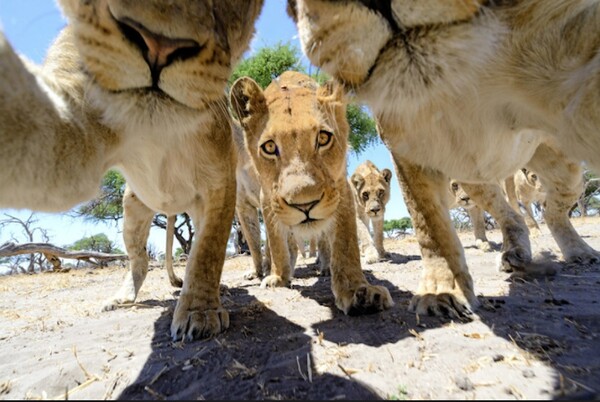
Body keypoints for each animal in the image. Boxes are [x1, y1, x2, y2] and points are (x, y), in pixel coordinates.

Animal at [0, 0, 262, 342]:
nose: (159, 45)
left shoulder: (220, 182)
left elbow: (208, 250)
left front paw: (199, 313)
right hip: (133, 208)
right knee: (139, 259)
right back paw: (122, 298)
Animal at [230, 71, 394, 314]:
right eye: (269, 147)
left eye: (323, 138)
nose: (304, 205)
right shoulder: (266, 197)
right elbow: (276, 243)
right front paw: (277, 277)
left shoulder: (340, 186)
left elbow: (346, 242)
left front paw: (357, 290)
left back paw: (325, 267)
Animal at [288, 1, 596, 318]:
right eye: (364, 194)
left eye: (381, 193)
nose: (373, 207)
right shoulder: (405, 151)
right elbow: (428, 224)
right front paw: (441, 290)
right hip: (479, 179)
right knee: (521, 213)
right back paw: (518, 253)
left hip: (561, 169)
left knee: (549, 207)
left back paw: (576, 252)